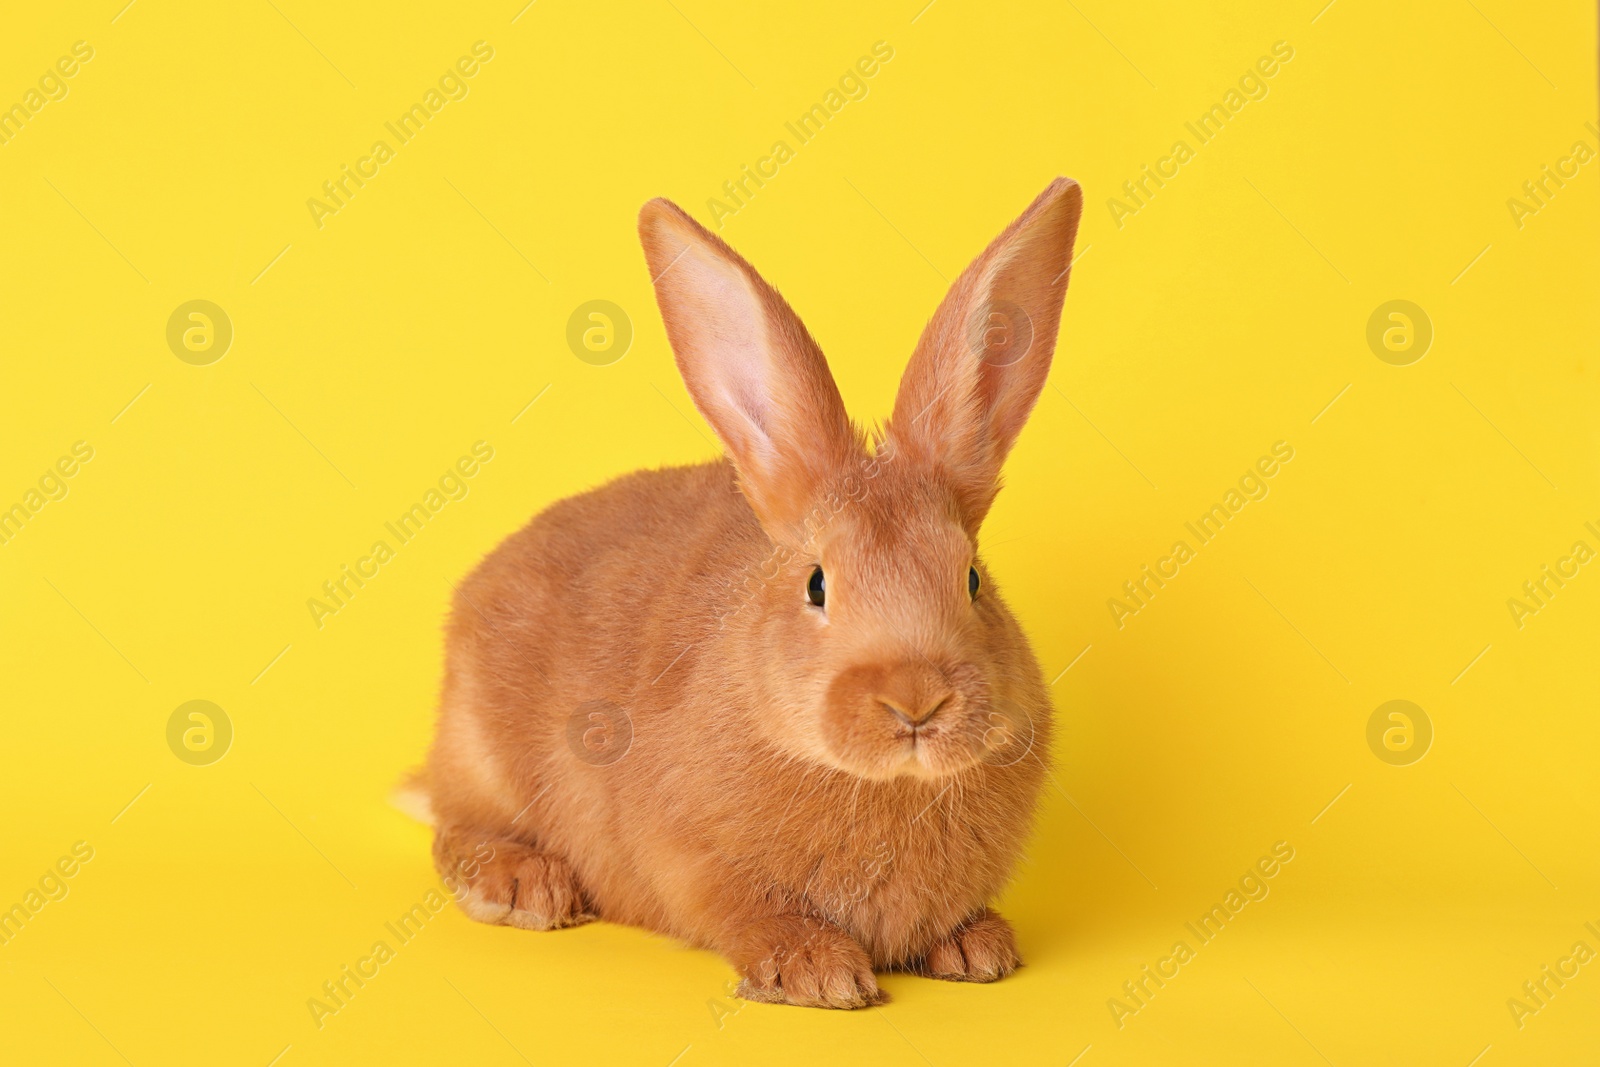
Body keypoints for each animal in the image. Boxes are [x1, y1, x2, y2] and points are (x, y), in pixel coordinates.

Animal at [419, 175, 1081, 1011]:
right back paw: (522, 887)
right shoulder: (688, 858)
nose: (916, 700)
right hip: (479, 752)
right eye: (816, 583)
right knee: (453, 826)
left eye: (971, 579)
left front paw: (977, 948)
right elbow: (746, 911)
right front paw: (816, 970)